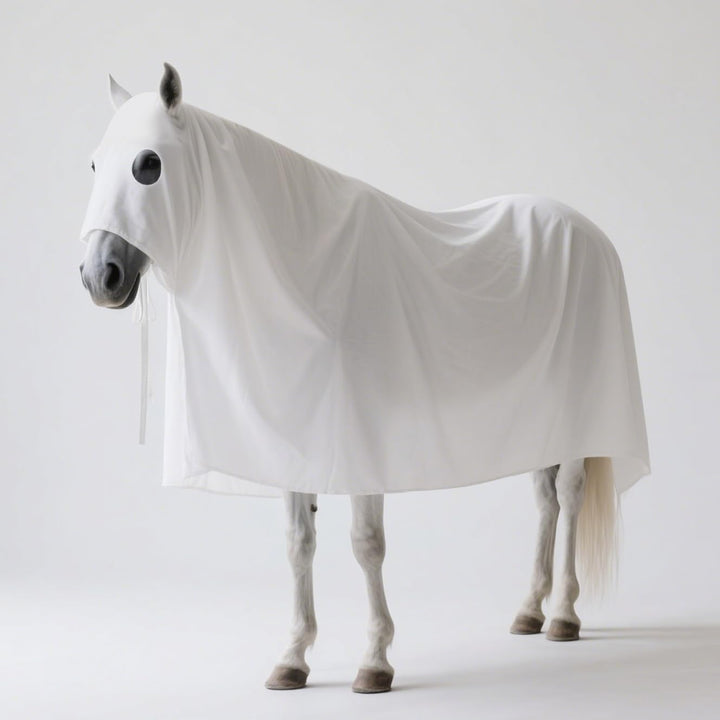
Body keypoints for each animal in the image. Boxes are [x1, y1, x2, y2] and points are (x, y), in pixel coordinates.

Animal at [79, 63, 648, 693]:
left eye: (149, 164)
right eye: (95, 165)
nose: (98, 276)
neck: (308, 276)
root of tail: (590, 232)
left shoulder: (362, 446)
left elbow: (366, 545)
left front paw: (375, 661)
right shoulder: (295, 444)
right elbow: (299, 544)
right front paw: (293, 658)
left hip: (582, 414)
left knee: (568, 496)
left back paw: (564, 616)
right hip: (540, 415)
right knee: (544, 501)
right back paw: (529, 610)